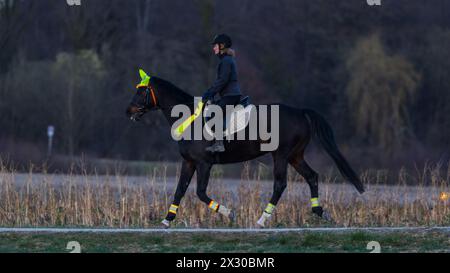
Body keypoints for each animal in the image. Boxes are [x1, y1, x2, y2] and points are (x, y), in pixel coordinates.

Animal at [125, 69, 364, 226]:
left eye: (142, 91)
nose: (128, 111)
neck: (189, 118)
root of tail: (300, 111)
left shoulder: (204, 163)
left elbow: (200, 192)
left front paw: (229, 213)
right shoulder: (189, 162)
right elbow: (180, 190)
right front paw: (167, 220)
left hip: (281, 155)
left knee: (280, 184)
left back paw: (262, 219)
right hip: (295, 155)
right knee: (312, 176)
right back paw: (320, 212)